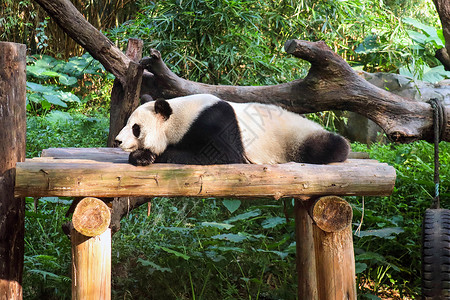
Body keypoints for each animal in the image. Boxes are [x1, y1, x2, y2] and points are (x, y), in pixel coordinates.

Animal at [114, 93, 350, 165]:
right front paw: (143, 156)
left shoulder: (214, 121)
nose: (117, 141)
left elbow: (222, 154)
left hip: (294, 137)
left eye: (135, 128)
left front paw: (148, 155)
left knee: (330, 146)